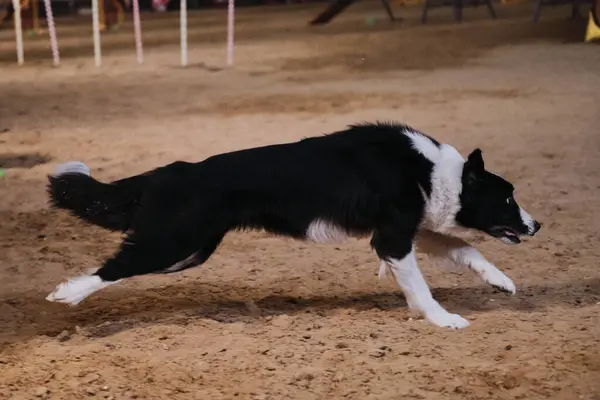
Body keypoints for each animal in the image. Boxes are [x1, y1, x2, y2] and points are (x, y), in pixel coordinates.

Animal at [47, 121, 540, 328]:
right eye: (508, 198)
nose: (536, 225)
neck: (432, 171)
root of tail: (169, 172)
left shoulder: (409, 231)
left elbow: (467, 250)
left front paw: (502, 283)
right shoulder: (393, 238)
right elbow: (421, 286)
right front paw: (444, 320)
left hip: (188, 252)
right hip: (174, 241)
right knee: (115, 266)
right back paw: (66, 294)